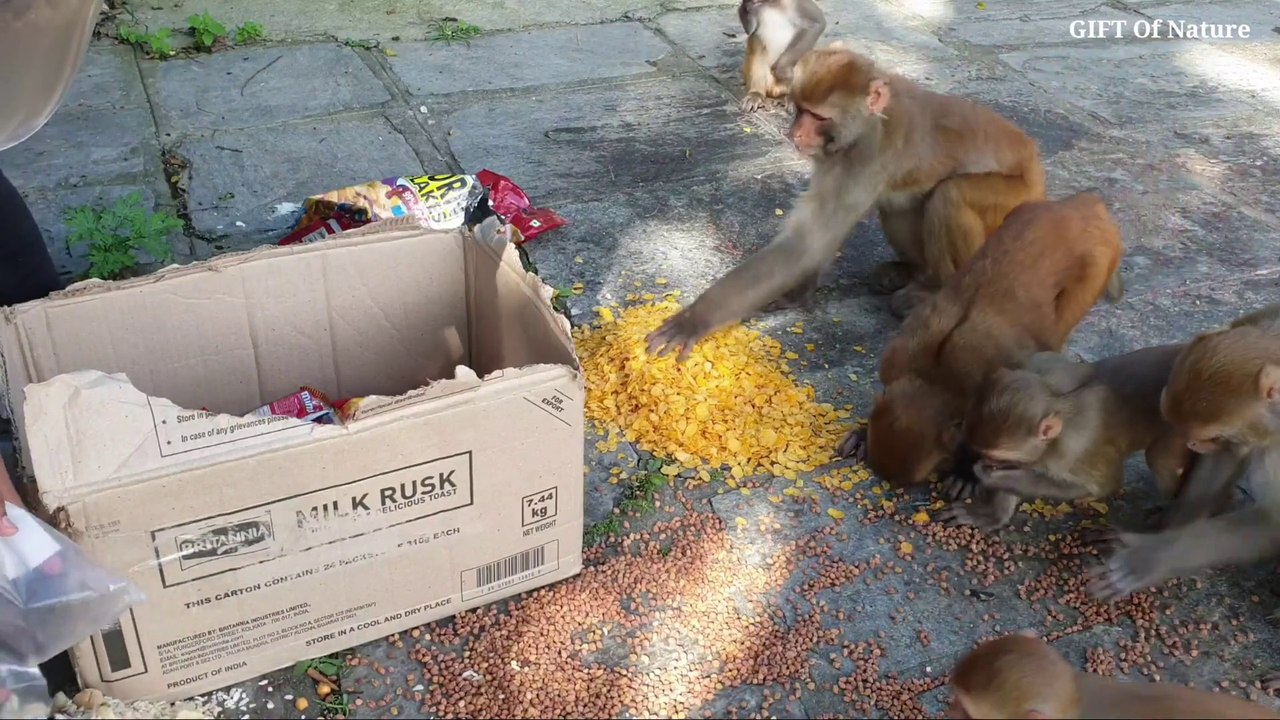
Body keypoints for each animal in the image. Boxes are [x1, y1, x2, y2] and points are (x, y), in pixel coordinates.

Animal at [645, 46, 1047, 362]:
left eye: (818, 117)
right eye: (799, 110)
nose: (794, 133)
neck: (867, 123)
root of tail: (1035, 167)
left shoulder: (866, 155)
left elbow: (807, 241)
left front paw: (694, 319)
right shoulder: (833, 156)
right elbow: (813, 240)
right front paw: (799, 294)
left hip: (1013, 200)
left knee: (951, 195)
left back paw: (933, 290)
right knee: (901, 203)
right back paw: (911, 271)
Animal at [831, 191, 1123, 490]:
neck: (932, 378)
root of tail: (1084, 207)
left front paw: (966, 472)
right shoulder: (896, 357)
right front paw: (862, 432)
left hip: (1098, 263)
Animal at [938, 344, 1194, 532]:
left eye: (996, 457)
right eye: (981, 451)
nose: (984, 462)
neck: (1057, 399)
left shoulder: (1076, 444)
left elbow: (1098, 485)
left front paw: (988, 478)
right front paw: (990, 512)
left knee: (1160, 458)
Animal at [1089, 303, 1280, 603]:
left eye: (1214, 436)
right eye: (1220, 439)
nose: (1192, 445)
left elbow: (1272, 520)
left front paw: (1147, 558)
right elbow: (1221, 462)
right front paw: (1167, 528)